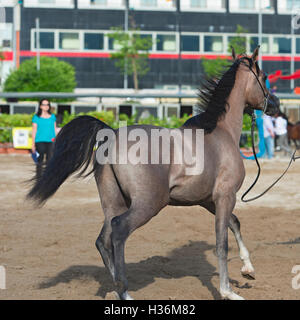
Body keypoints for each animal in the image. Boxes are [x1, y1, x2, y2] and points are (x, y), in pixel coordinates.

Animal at [27, 47, 280, 300]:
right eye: (264, 77)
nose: (276, 106)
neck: (221, 132)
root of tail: (112, 134)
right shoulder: (225, 196)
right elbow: (222, 242)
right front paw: (228, 291)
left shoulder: (207, 200)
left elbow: (235, 223)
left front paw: (248, 269)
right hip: (149, 204)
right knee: (118, 231)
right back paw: (124, 291)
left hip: (114, 202)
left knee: (102, 240)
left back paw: (117, 289)